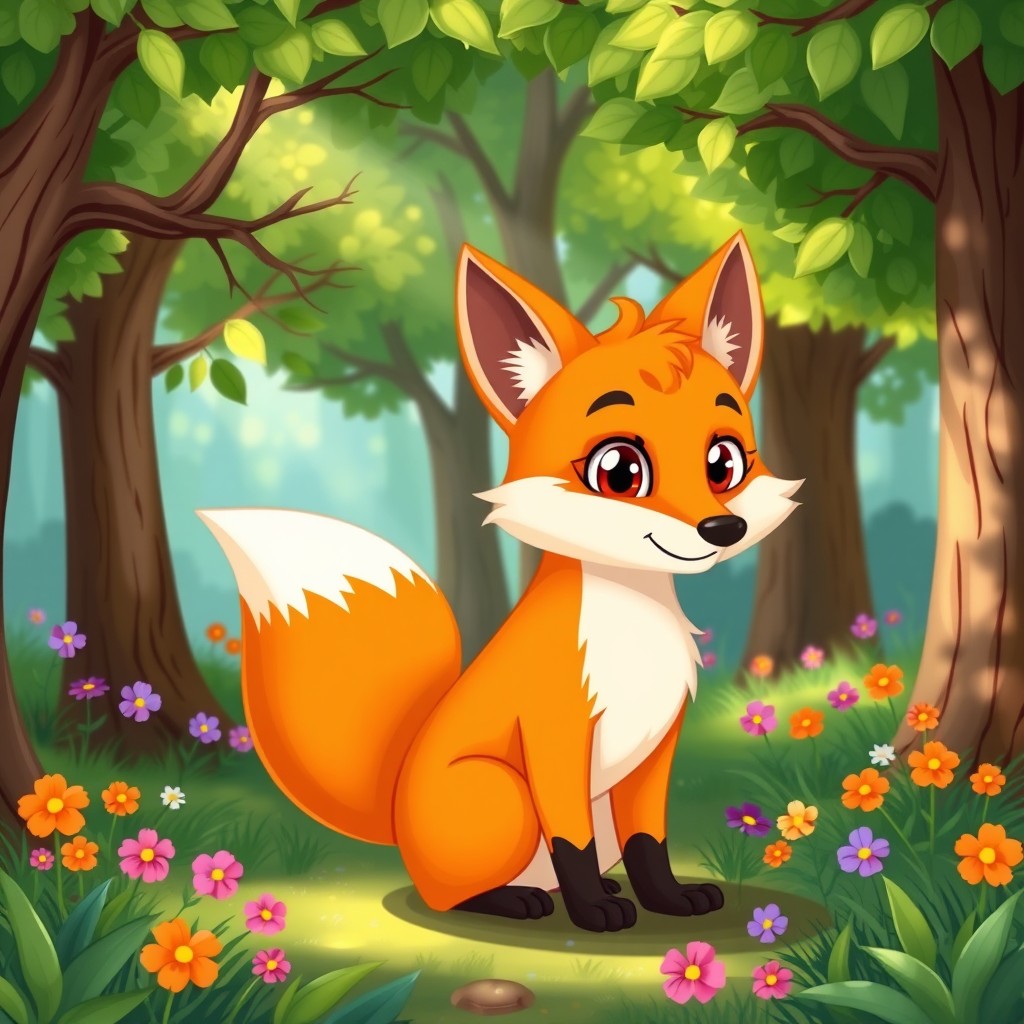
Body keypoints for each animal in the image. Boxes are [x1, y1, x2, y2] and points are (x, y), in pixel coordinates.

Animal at [198, 232, 800, 933]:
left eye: (723, 461)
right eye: (620, 471)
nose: (721, 528)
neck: (631, 628)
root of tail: (396, 822)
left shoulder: (655, 754)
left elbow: (649, 841)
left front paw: (669, 900)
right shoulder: (554, 740)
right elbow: (572, 842)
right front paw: (594, 912)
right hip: (503, 795)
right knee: (456, 894)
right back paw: (518, 902)